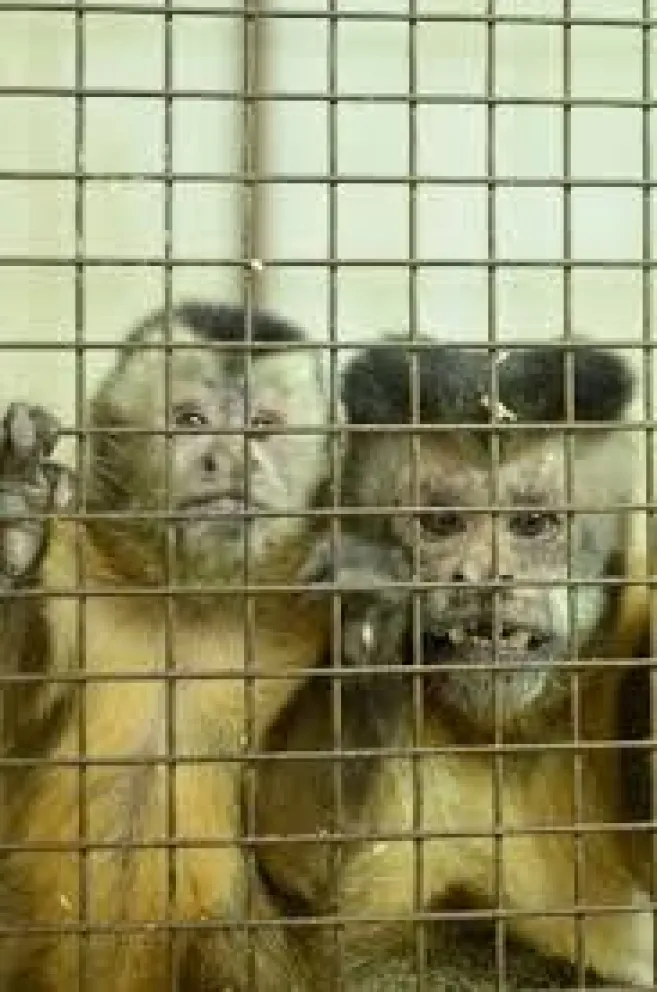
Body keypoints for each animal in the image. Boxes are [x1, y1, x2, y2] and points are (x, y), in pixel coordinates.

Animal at [0, 301, 348, 992]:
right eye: (192, 420)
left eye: (263, 427)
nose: (232, 460)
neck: (189, 600)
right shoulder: (73, 568)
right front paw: (17, 526)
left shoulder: (303, 618)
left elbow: (303, 853)